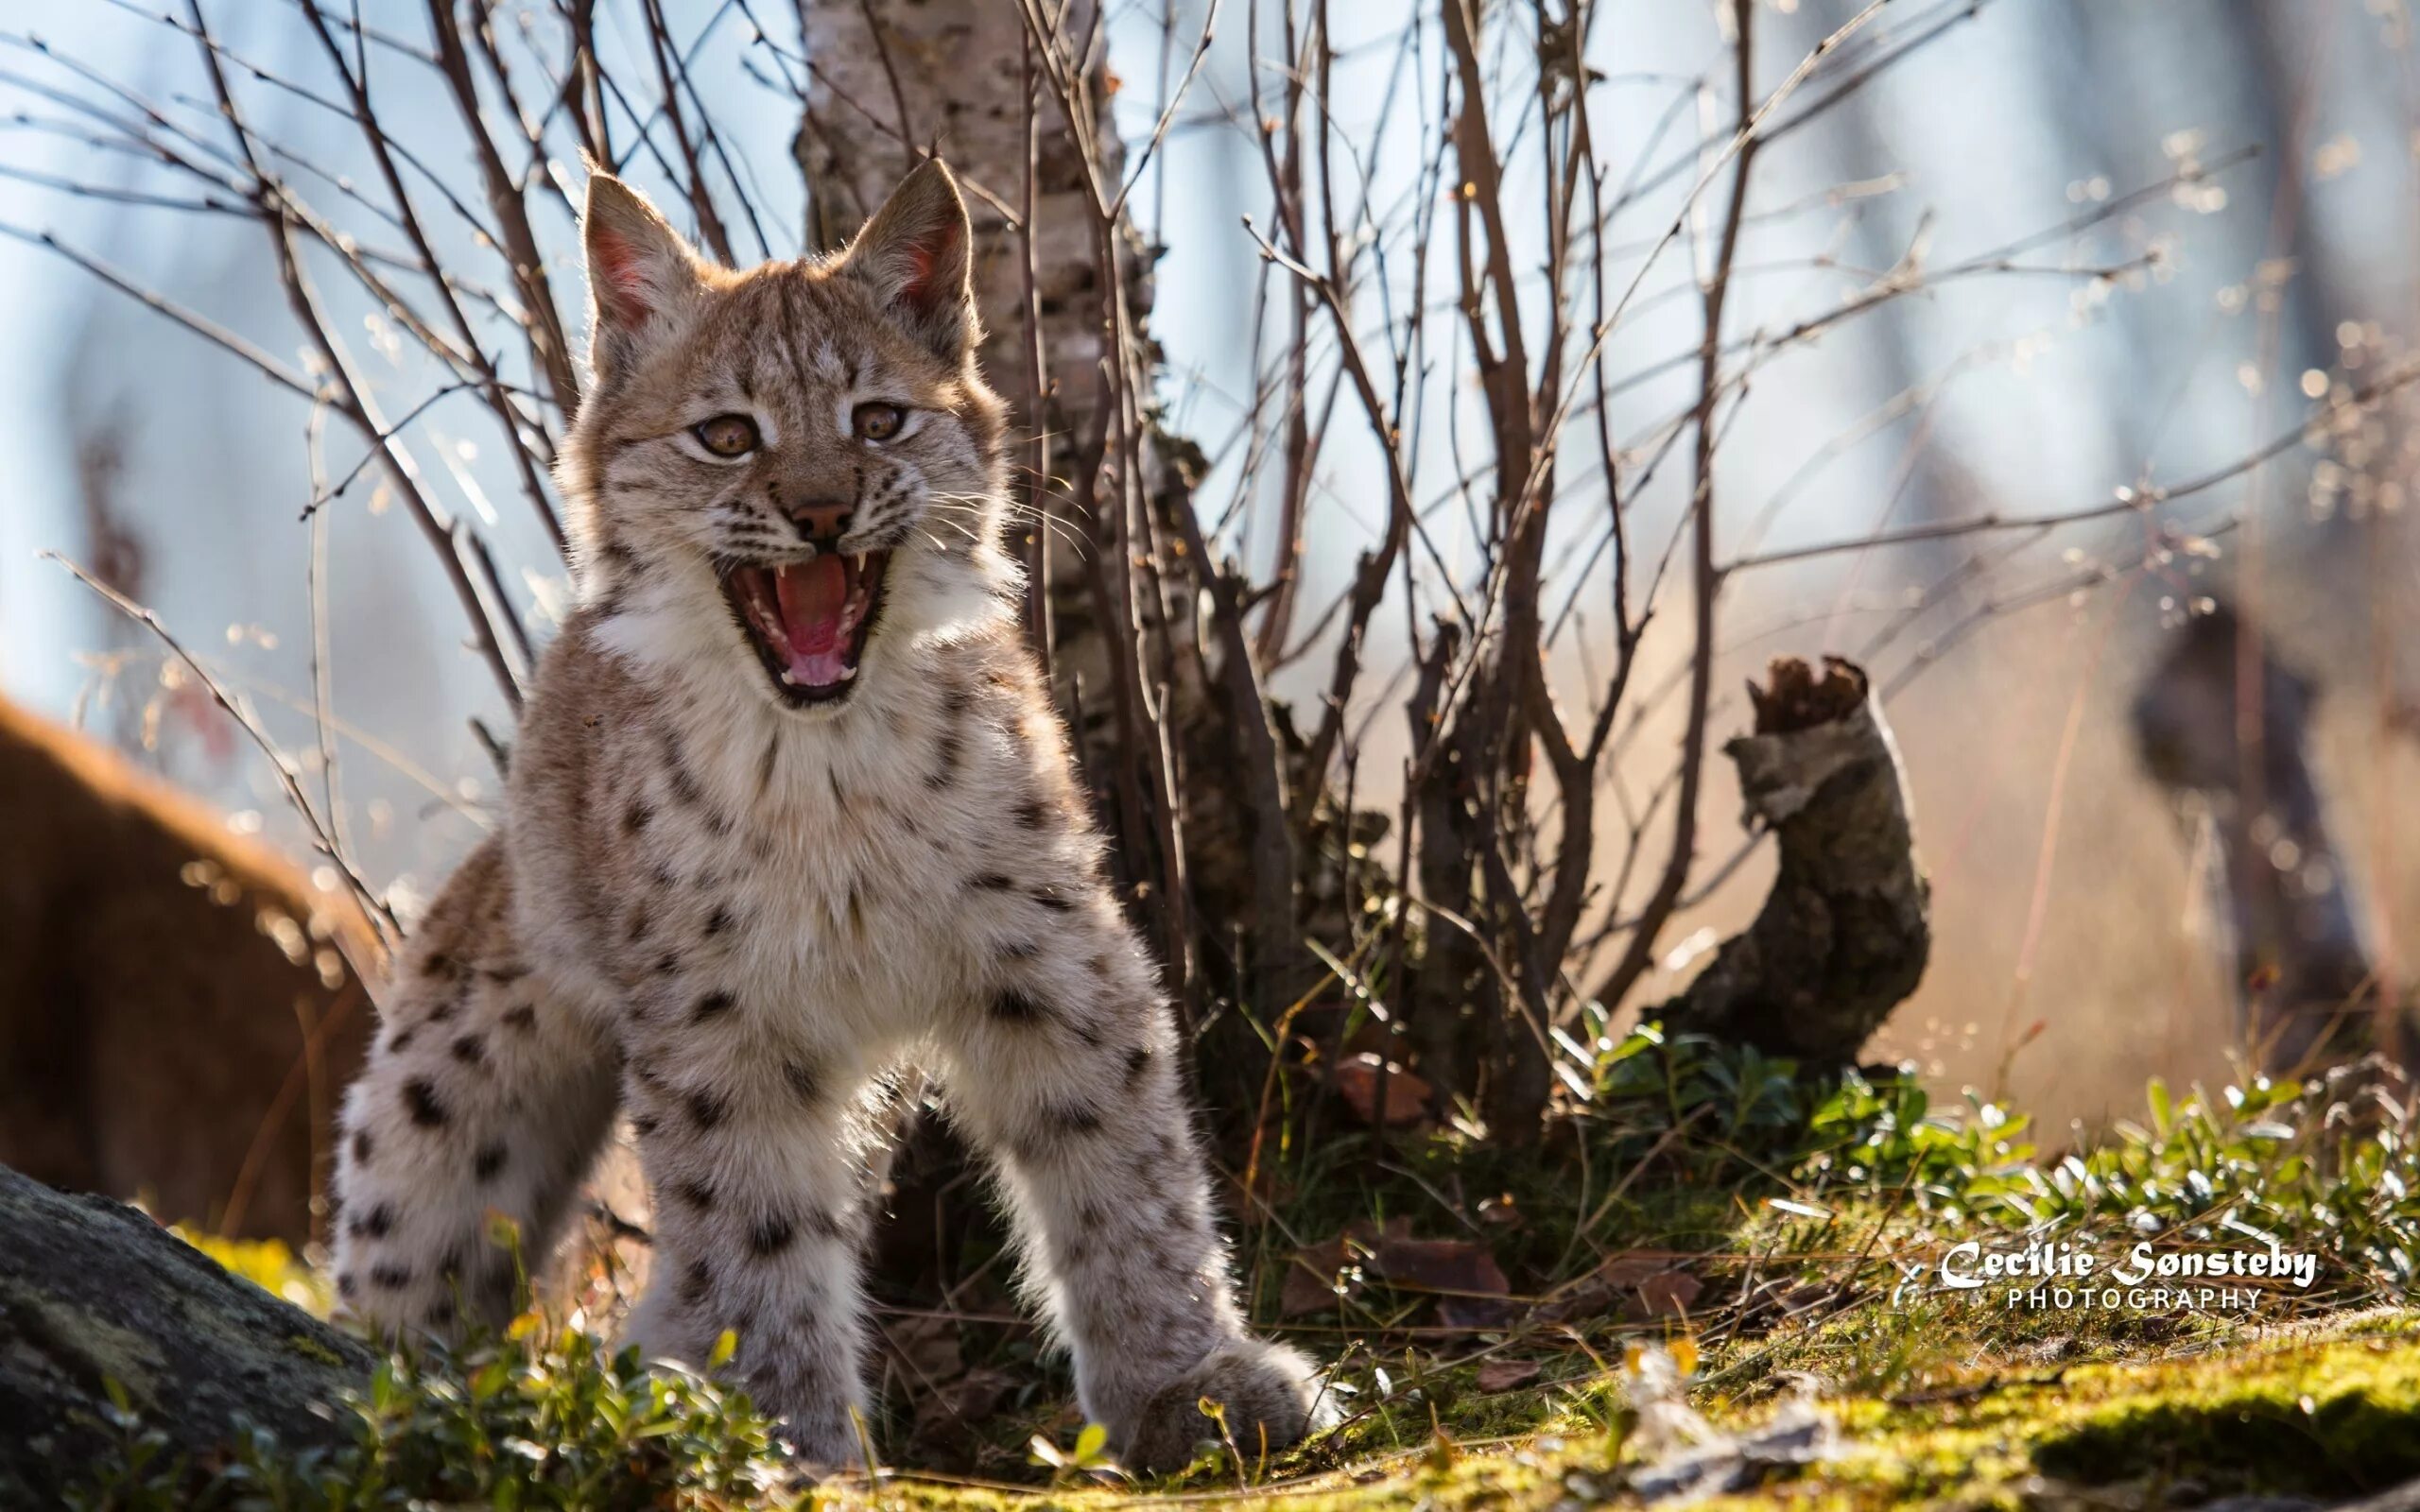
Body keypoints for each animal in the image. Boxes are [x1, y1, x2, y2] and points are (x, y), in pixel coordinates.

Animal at [329, 159, 1316, 1470]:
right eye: (727, 437)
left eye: (879, 422)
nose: (819, 512)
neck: (825, 754)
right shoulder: (717, 1024)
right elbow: (749, 1226)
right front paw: (793, 1442)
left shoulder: (1054, 953)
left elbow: (1124, 1156)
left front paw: (1185, 1378)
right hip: (445, 1083)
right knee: (408, 1265)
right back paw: (423, 1398)